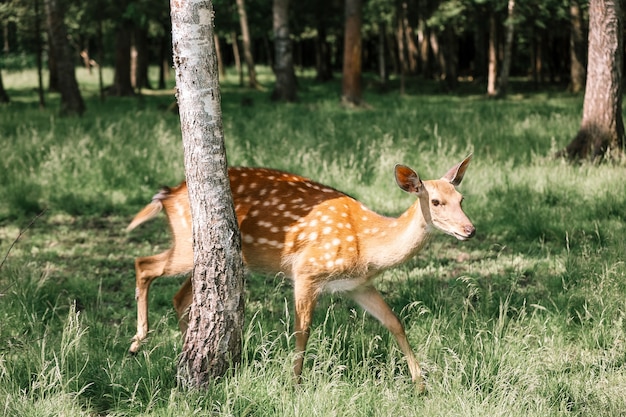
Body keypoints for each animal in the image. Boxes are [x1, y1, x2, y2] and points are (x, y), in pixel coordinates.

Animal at [129, 154, 476, 386]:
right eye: (435, 201)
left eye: (461, 198)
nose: (469, 230)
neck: (367, 245)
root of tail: (167, 194)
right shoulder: (307, 271)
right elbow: (303, 329)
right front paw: (294, 383)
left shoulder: (358, 284)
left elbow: (394, 322)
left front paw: (421, 383)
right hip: (189, 244)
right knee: (143, 265)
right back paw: (138, 342)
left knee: (179, 296)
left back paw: (188, 350)